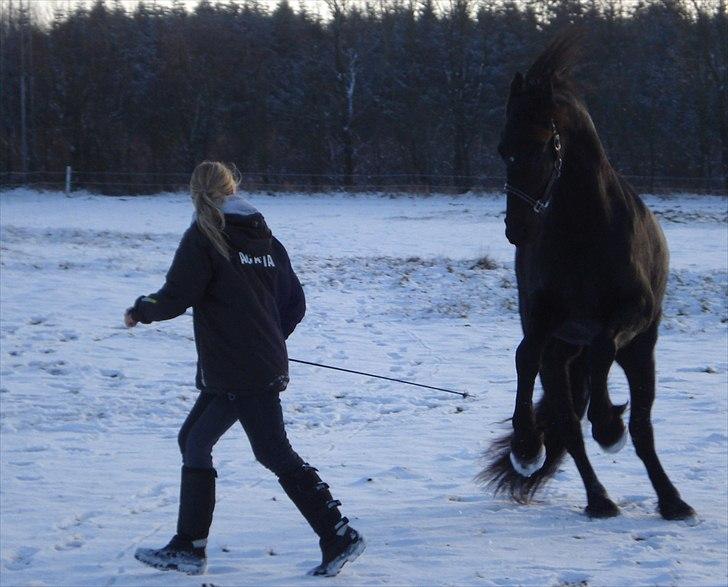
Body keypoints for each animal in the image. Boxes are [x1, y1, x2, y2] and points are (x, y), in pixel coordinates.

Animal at [478, 32, 692, 520]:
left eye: (545, 142)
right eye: (502, 147)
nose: (517, 229)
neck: (584, 229)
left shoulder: (630, 312)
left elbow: (601, 349)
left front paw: (608, 424)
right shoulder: (543, 319)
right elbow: (524, 356)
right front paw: (525, 446)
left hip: (641, 351)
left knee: (640, 427)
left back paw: (671, 500)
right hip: (561, 358)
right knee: (571, 429)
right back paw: (599, 500)